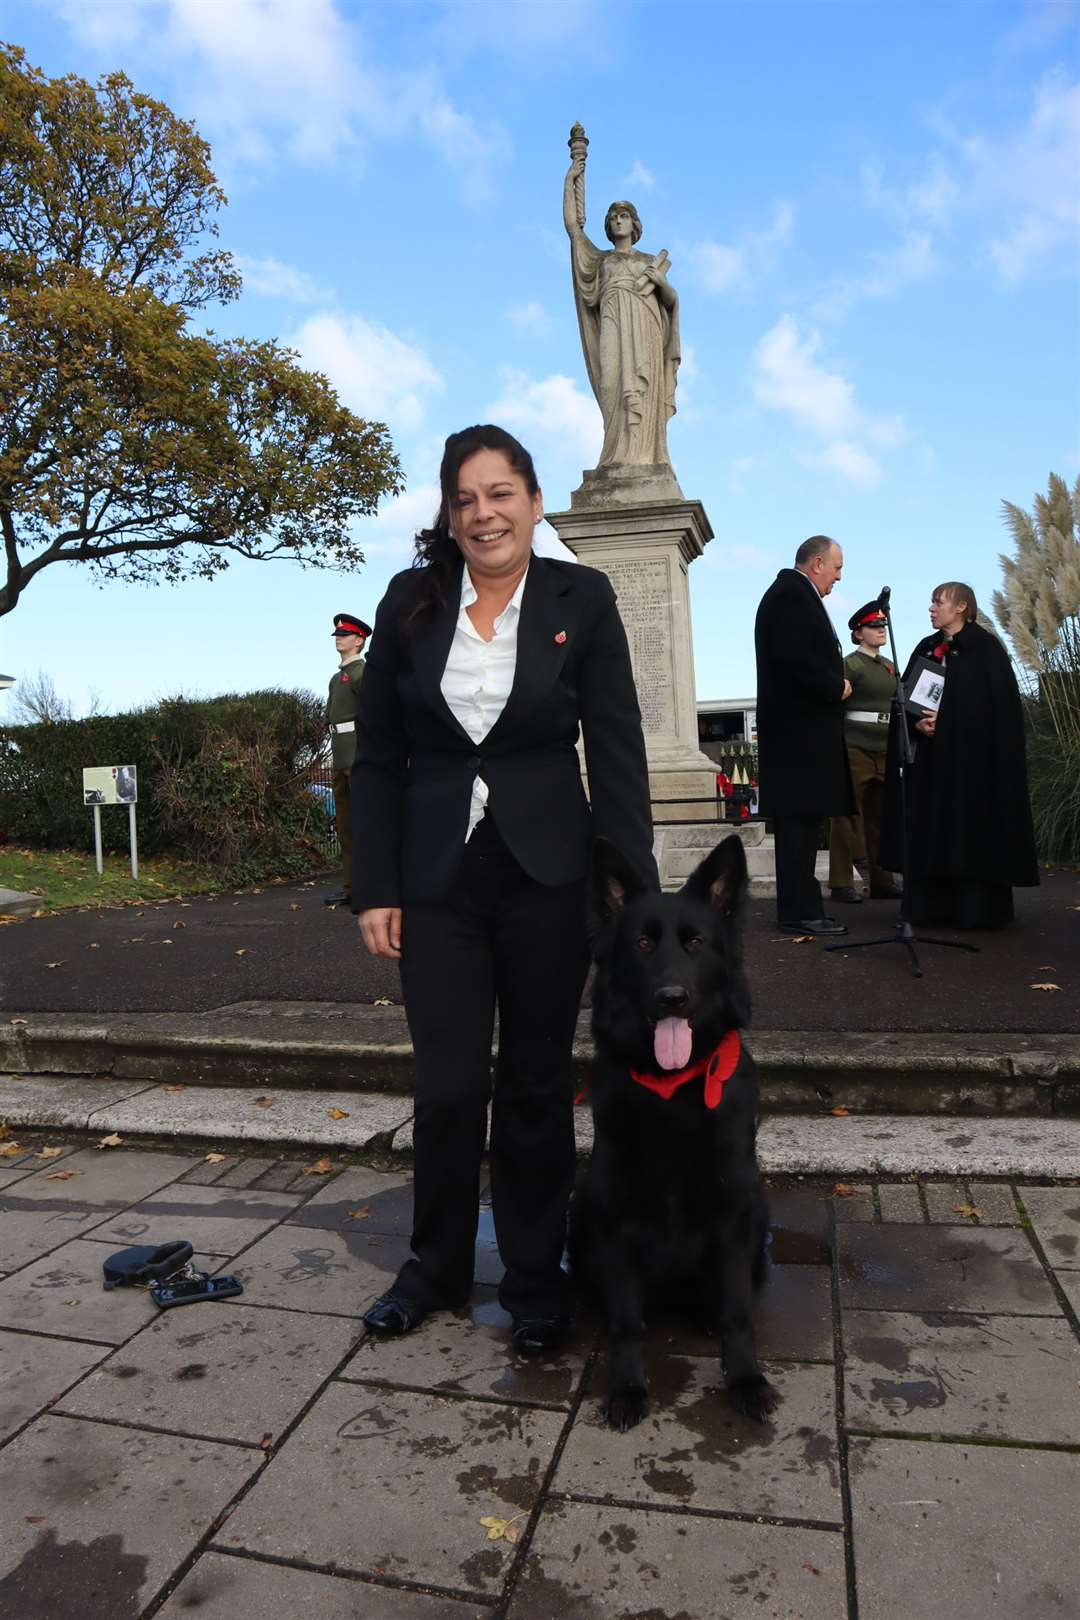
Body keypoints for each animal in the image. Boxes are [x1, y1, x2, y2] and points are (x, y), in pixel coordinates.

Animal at [569, 835, 780, 1432]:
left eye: (695, 943)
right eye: (642, 942)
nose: (671, 997)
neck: (673, 1087)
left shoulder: (735, 1210)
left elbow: (736, 1312)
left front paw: (745, 1379)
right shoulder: (613, 1214)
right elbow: (625, 1320)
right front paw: (626, 1388)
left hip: (759, 1212)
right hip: (581, 1205)